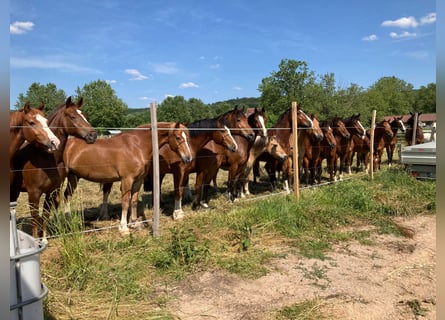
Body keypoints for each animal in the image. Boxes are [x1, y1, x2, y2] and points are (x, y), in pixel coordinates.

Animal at [10, 97, 97, 240]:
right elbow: (35, 218)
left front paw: (44, 239)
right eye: (72, 116)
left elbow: (45, 215)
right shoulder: (34, 193)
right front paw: (36, 240)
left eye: (84, 115)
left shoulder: (51, 191)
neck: (46, 158)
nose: (93, 135)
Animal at [62, 121, 193, 234]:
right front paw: (123, 228)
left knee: (67, 195)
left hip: (74, 177)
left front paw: (134, 223)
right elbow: (125, 202)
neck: (137, 145)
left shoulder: (138, 180)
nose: (188, 158)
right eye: (178, 137)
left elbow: (133, 201)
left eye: (187, 137)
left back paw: (68, 222)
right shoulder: (127, 180)